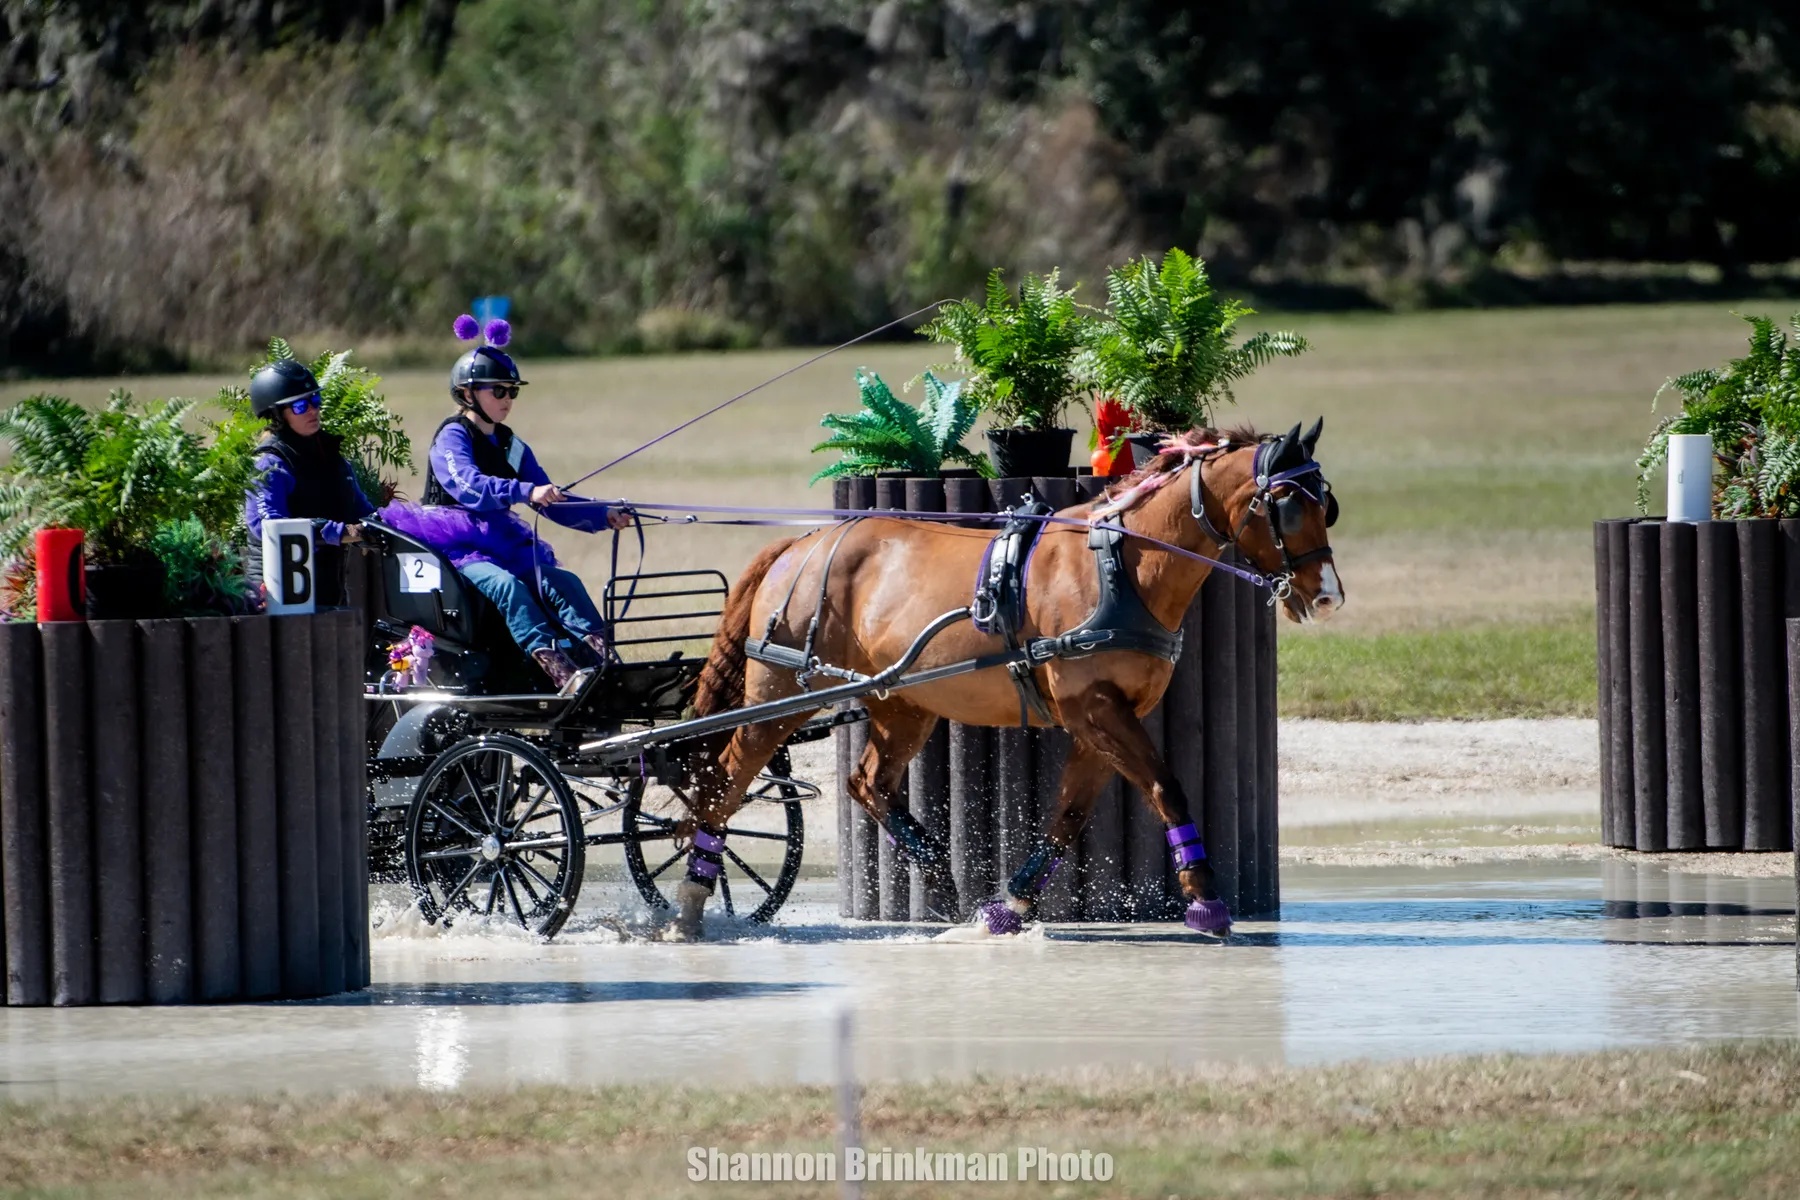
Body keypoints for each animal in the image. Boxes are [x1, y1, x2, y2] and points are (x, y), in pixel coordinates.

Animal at [669, 419, 1343, 940]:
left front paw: (1009, 905)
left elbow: (1069, 816)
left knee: (867, 783)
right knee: (725, 779)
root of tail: (799, 544)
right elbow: (1166, 788)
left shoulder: (1101, 720)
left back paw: (939, 878)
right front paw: (1204, 897)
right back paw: (690, 900)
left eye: (1327, 505)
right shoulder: (1097, 709)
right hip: (782, 693)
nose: (1328, 595)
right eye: (1287, 505)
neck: (1121, 567)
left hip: (903, 703)